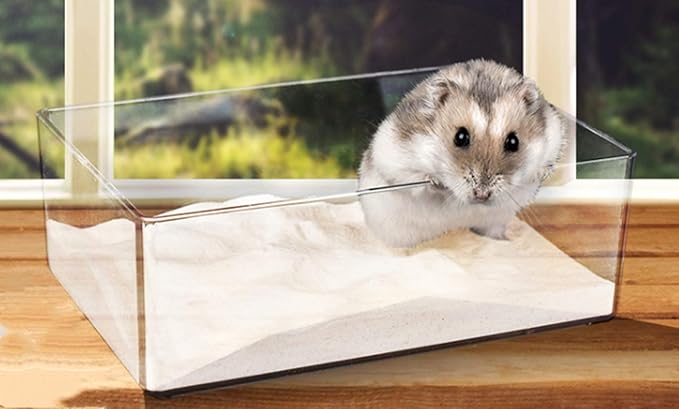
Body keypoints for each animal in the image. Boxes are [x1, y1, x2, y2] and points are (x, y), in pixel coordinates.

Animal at [358, 59, 565, 247]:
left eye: (514, 142)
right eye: (460, 137)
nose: (482, 195)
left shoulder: (553, 134)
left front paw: (541, 173)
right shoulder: (392, 156)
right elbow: (413, 178)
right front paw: (436, 181)